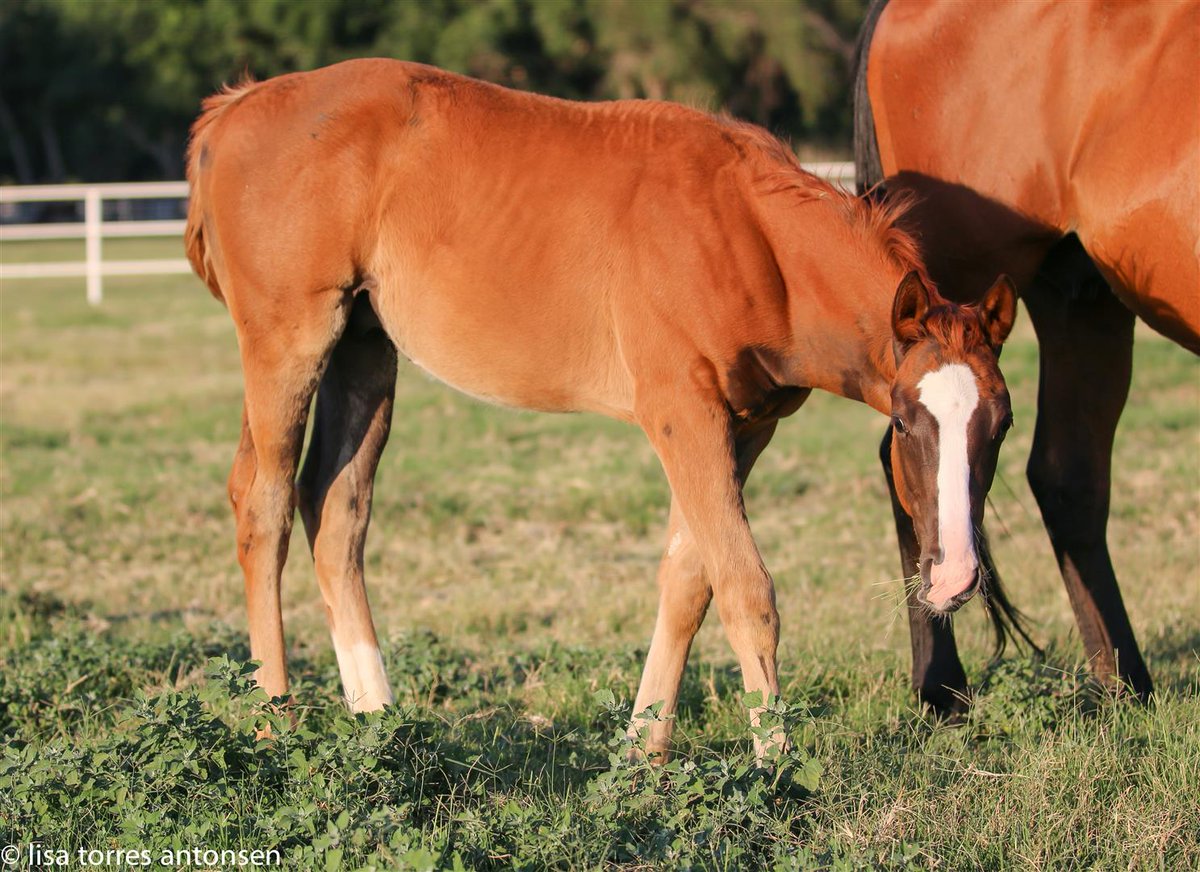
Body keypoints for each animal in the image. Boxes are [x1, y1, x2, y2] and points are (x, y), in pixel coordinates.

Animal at [182, 59, 1017, 758]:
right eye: (905, 422)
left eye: (1001, 425)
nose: (955, 577)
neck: (746, 231)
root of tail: (235, 108)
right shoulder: (683, 413)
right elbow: (746, 589)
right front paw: (777, 768)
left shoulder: (745, 426)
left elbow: (689, 582)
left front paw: (642, 755)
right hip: (289, 344)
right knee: (264, 505)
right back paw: (275, 722)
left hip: (362, 349)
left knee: (336, 516)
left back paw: (378, 722)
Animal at [854, 0, 1200, 714]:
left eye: (1003, 424)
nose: (956, 579)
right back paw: (941, 688)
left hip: (1080, 294)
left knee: (1068, 478)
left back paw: (1125, 688)